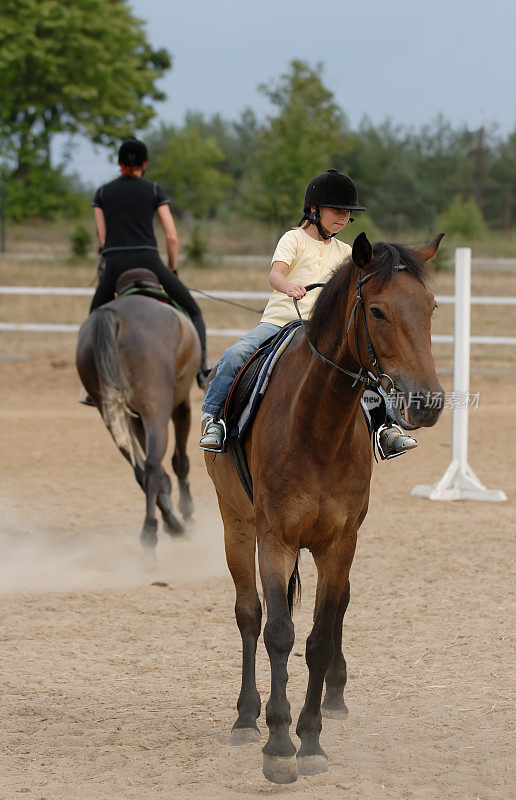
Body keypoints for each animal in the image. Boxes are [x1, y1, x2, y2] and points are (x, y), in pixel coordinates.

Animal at [76, 294, 202, 556]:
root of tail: (114, 314)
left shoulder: (134, 416)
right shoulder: (180, 405)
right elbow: (180, 461)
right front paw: (187, 509)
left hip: (112, 414)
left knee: (140, 470)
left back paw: (172, 524)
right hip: (157, 409)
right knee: (153, 465)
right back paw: (152, 534)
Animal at [204, 231, 446, 780]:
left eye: (431, 307)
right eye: (377, 311)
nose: (429, 402)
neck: (318, 426)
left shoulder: (340, 541)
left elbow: (318, 638)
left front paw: (310, 740)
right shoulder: (275, 538)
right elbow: (277, 632)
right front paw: (278, 746)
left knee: (333, 615)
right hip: (236, 525)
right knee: (248, 614)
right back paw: (246, 717)